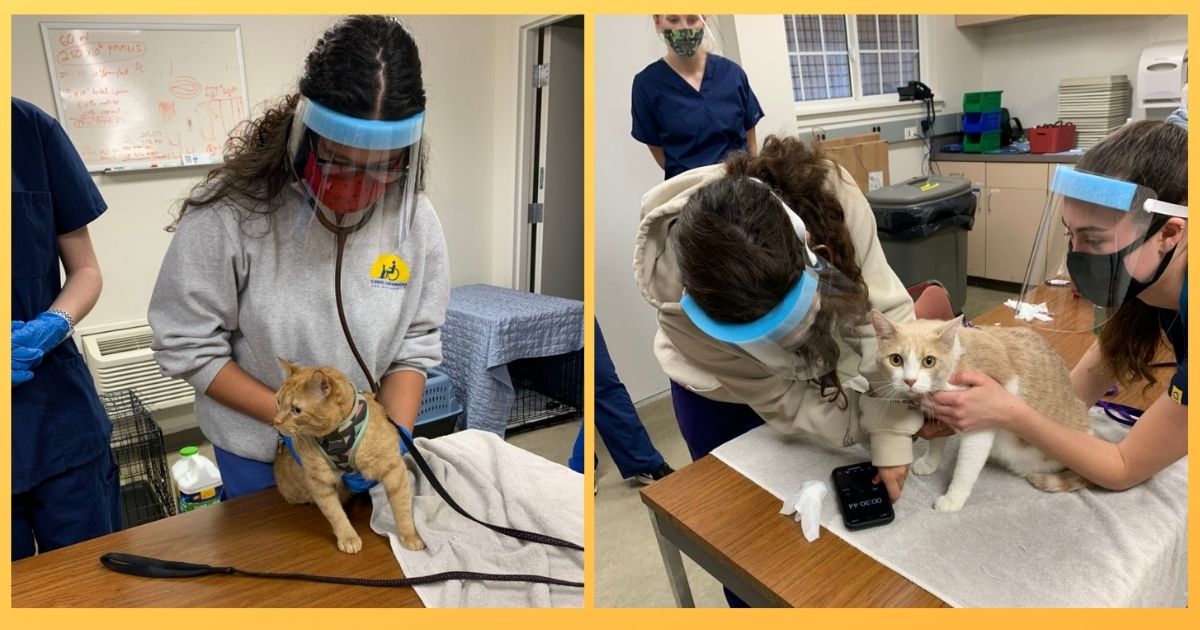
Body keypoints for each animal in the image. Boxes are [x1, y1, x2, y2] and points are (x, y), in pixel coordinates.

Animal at [273, 360, 427, 552]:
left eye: (296, 410)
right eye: (278, 401)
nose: (276, 421)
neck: (339, 433)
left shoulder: (394, 469)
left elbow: (402, 508)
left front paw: (410, 535)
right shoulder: (319, 481)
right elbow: (335, 514)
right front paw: (348, 537)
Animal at [868, 309, 1094, 511]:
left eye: (929, 361)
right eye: (896, 359)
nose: (910, 381)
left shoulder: (978, 426)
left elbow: (965, 470)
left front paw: (953, 500)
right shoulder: (942, 415)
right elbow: (937, 442)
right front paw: (930, 463)